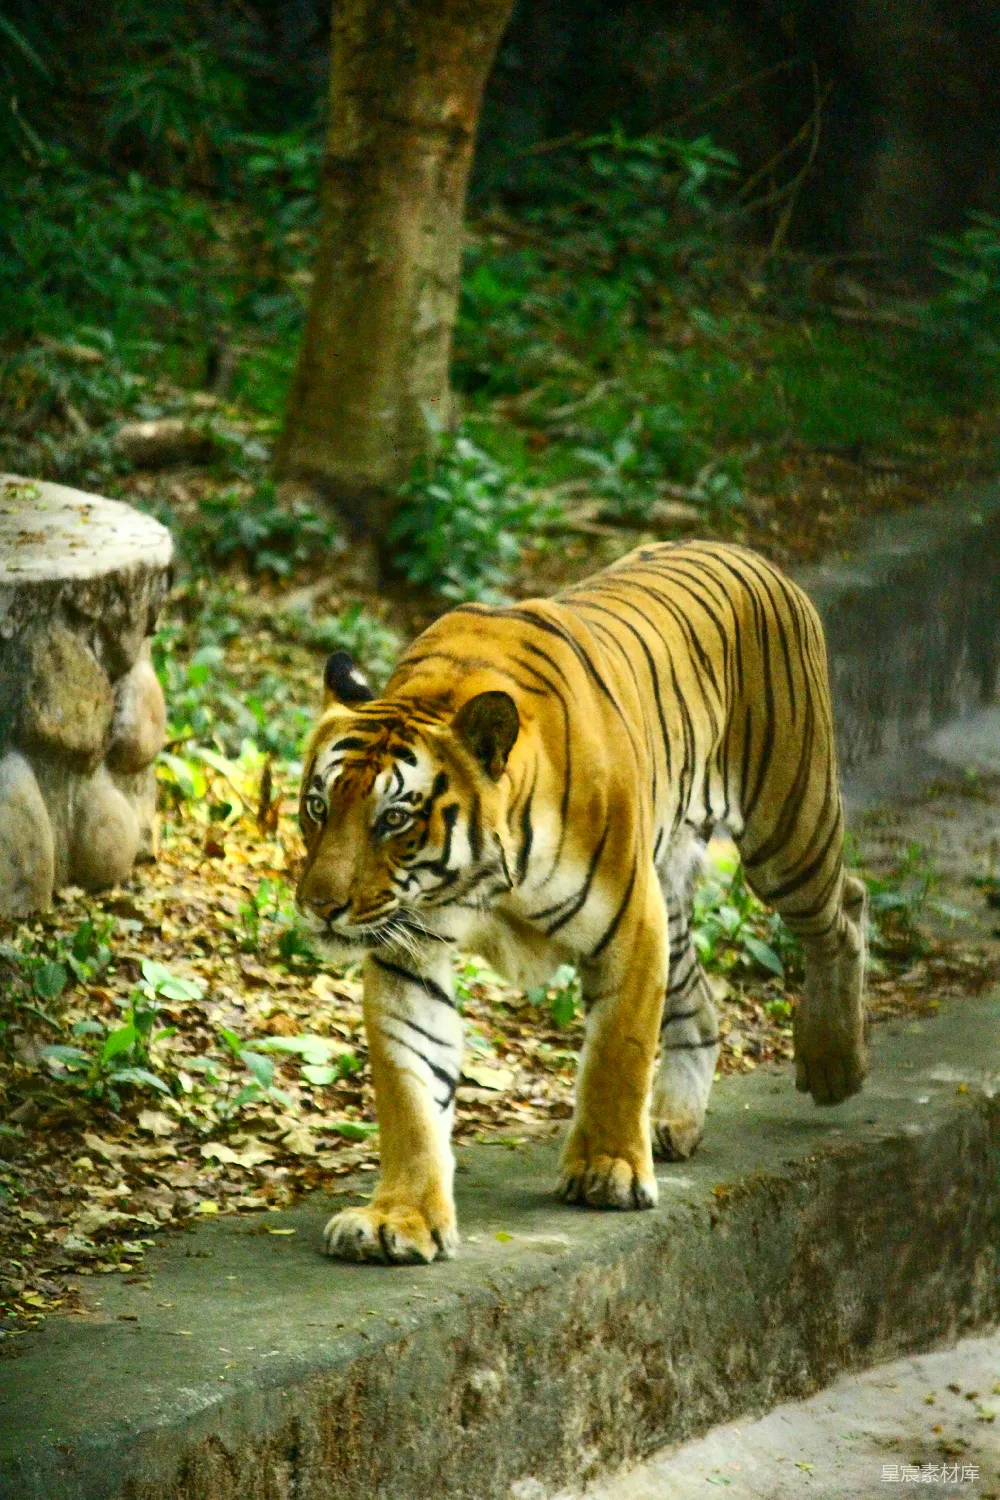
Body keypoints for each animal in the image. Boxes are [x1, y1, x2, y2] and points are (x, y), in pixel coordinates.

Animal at [296, 540, 867, 1265]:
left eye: (394, 819)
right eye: (319, 807)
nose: (320, 905)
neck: (479, 880)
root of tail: (745, 552)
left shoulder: (631, 923)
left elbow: (617, 1055)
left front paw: (607, 1172)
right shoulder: (408, 954)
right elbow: (410, 1090)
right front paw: (398, 1218)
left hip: (788, 832)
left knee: (846, 908)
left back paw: (834, 1061)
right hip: (678, 885)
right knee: (700, 1001)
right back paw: (674, 1121)